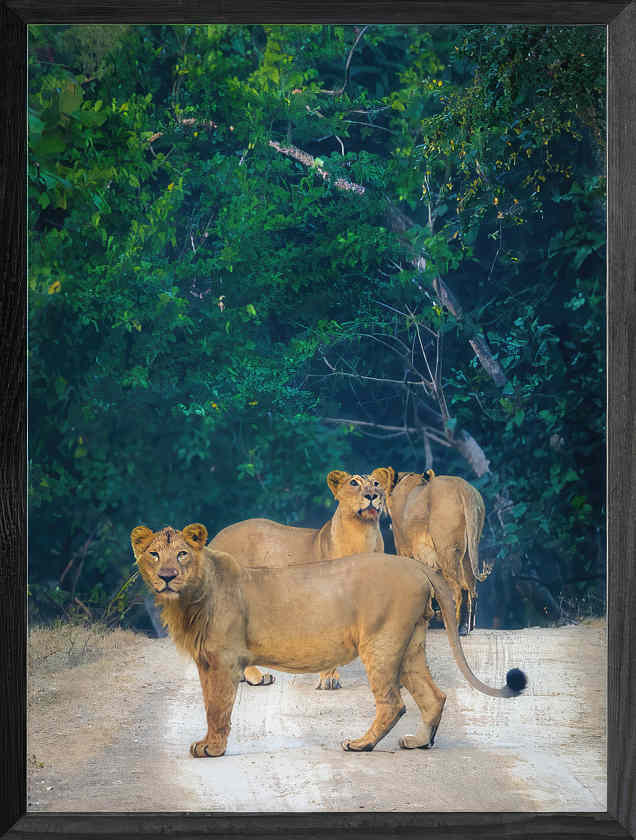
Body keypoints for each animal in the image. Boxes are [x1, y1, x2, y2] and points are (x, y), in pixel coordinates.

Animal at [131, 523, 527, 758]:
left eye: (182, 554)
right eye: (154, 554)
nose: (167, 576)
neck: (190, 596)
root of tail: (415, 565)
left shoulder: (224, 660)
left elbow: (218, 707)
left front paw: (212, 748)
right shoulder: (206, 661)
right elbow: (210, 705)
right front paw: (209, 743)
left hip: (381, 642)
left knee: (393, 702)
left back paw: (362, 744)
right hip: (410, 644)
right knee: (434, 696)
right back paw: (418, 742)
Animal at [209, 468, 393, 689]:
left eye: (376, 483)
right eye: (354, 483)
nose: (372, 495)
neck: (363, 532)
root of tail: (216, 537)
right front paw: (328, 679)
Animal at [385, 468, 491, 635]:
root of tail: (463, 488)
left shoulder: (403, 548)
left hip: (446, 550)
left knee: (459, 590)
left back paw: (455, 626)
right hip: (468, 550)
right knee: (471, 587)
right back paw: (467, 627)